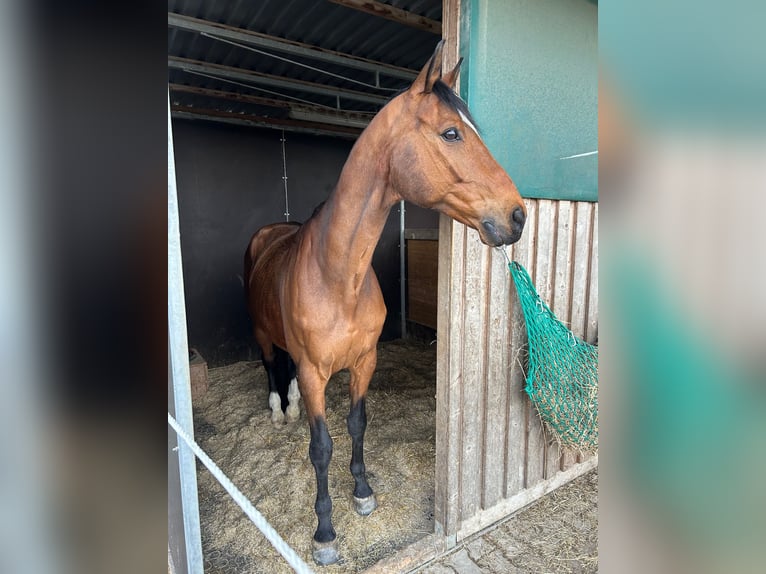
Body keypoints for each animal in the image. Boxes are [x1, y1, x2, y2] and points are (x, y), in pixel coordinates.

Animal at [243, 40, 526, 565]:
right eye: (451, 132)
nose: (517, 216)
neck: (337, 277)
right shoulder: (315, 372)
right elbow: (321, 447)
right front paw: (325, 534)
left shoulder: (365, 360)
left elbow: (357, 424)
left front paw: (362, 492)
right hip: (262, 333)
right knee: (272, 364)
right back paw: (279, 409)